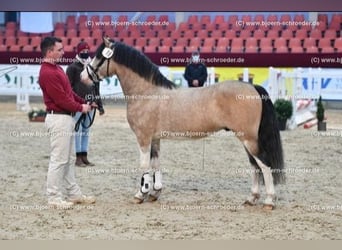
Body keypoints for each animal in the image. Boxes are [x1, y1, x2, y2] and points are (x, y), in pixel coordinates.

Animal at [81, 37, 286, 209]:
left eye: (100, 57)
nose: (83, 77)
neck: (148, 93)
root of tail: (252, 87)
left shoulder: (143, 138)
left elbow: (144, 166)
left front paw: (140, 194)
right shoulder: (155, 139)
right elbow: (156, 164)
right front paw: (155, 193)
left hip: (249, 139)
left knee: (264, 165)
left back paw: (269, 201)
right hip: (247, 139)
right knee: (254, 166)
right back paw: (251, 198)